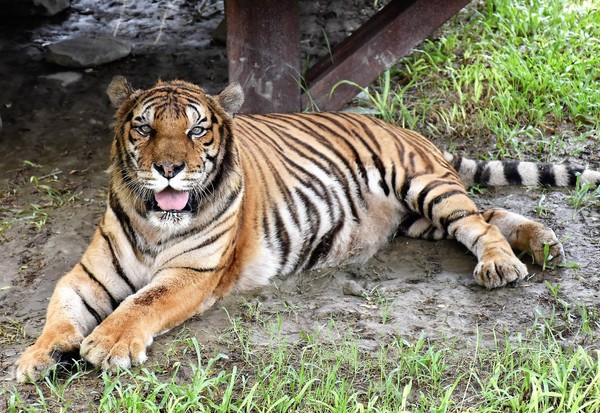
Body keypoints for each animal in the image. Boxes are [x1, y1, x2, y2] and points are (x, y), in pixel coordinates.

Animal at [14, 75, 600, 382]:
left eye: (197, 130)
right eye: (144, 127)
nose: (169, 168)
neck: (155, 222)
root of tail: (408, 131)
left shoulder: (195, 273)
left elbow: (143, 302)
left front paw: (107, 344)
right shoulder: (87, 275)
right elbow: (60, 311)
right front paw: (37, 357)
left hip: (423, 185)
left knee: (479, 223)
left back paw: (505, 264)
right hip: (421, 219)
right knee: (484, 215)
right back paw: (541, 244)